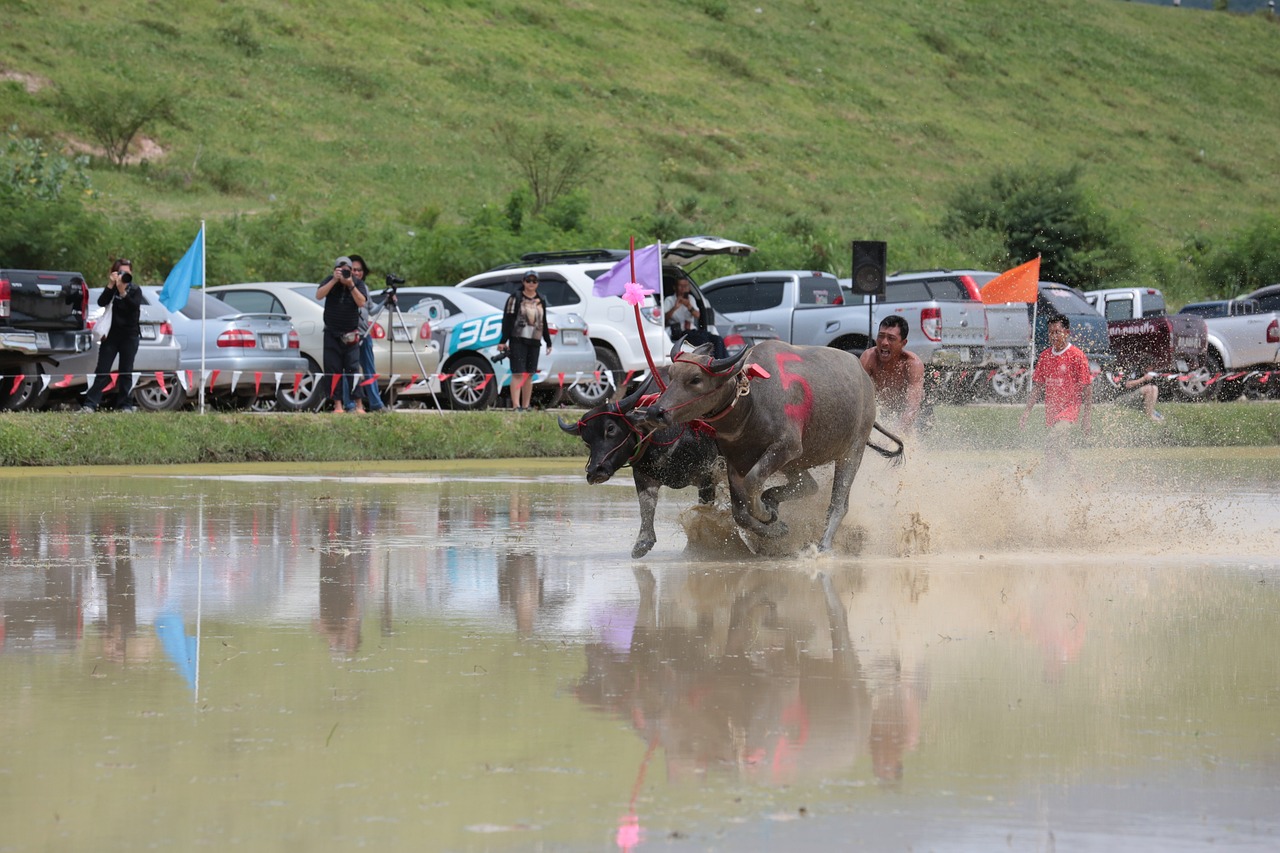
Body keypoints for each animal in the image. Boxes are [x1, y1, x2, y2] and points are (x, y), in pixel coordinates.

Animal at [558, 376, 721, 555]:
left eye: (610, 428)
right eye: (586, 441)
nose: (595, 471)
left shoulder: (707, 476)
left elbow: (703, 511)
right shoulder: (643, 477)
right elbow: (646, 506)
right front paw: (642, 542)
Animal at [632, 338, 896, 550]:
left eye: (695, 379)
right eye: (671, 375)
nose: (655, 412)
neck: (751, 403)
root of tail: (865, 380)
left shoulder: (785, 448)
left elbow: (752, 484)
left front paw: (766, 513)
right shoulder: (735, 461)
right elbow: (740, 513)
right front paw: (775, 526)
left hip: (851, 451)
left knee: (838, 503)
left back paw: (823, 546)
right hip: (796, 463)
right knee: (809, 486)